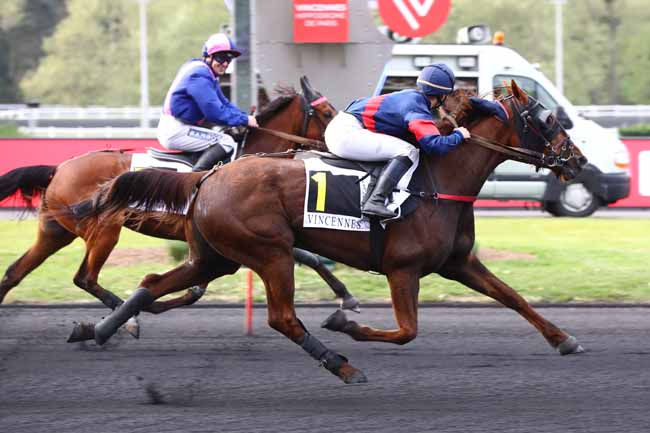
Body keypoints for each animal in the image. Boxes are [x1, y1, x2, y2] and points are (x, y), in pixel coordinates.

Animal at [0, 76, 360, 324]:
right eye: (326, 112)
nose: (340, 143)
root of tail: (59, 168)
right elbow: (307, 256)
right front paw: (345, 295)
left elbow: (308, 256)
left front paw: (345, 295)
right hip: (103, 230)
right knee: (84, 277)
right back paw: (127, 318)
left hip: (55, 231)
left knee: (15, 272)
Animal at [67, 81, 587, 383]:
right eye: (548, 119)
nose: (579, 161)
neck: (440, 180)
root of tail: (207, 177)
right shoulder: (402, 269)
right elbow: (407, 331)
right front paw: (345, 321)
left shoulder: (459, 263)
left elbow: (513, 297)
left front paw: (565, 339)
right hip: (268, 251)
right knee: (282, 318)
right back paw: (342, 364)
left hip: (217, 256)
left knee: (152, 284)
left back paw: (98, 328)